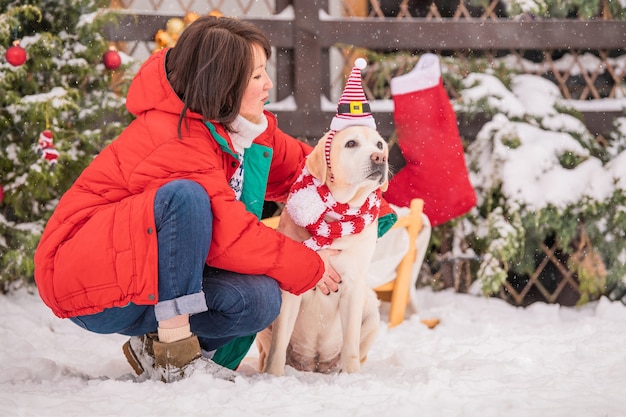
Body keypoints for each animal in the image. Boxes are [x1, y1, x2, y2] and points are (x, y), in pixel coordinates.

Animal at [256, 123, 388, 374]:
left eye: (379, 144)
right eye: (351, 143)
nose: (380, 157)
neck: (335, 217)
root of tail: (313, 363)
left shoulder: (353, 286)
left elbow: (351, 341)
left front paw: (352, 375)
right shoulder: (290, 291)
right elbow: (279, 342)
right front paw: (273, 375)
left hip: (372, 312)